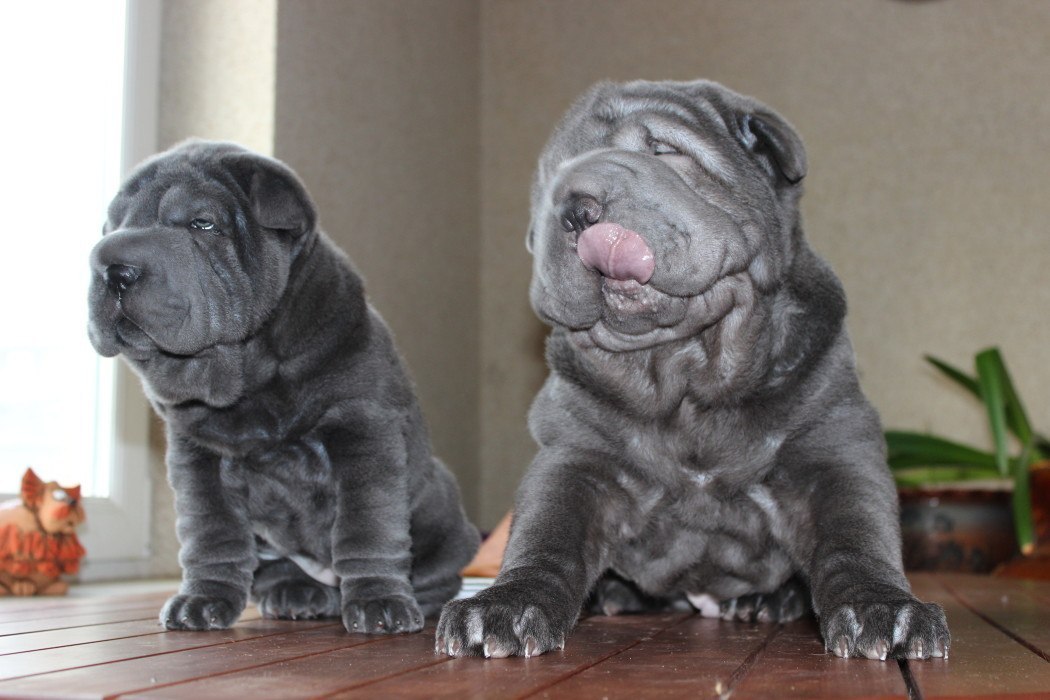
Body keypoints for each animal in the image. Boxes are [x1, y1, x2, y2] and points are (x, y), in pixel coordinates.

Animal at [88, 139, 478, 633]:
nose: (112, 267)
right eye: (114, 226)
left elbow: (367, 525)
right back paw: (297, 594)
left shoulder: (362, 429)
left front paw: (380, 602)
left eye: (202, 224)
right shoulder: (198, 458)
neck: (250, 378)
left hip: (441, 503)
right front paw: (201, 600)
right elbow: (211, 534)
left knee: (437, 570)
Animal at [436, 80, 953, 663]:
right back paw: (615, 595)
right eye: (551, 183)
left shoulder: (833, 450)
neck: (686, 371)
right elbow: (546, 535)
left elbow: (856, 538)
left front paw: (884, 610)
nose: (575, 207)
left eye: (665, 152)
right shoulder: (576, 460)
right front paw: (506, 605)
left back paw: (770, 603)